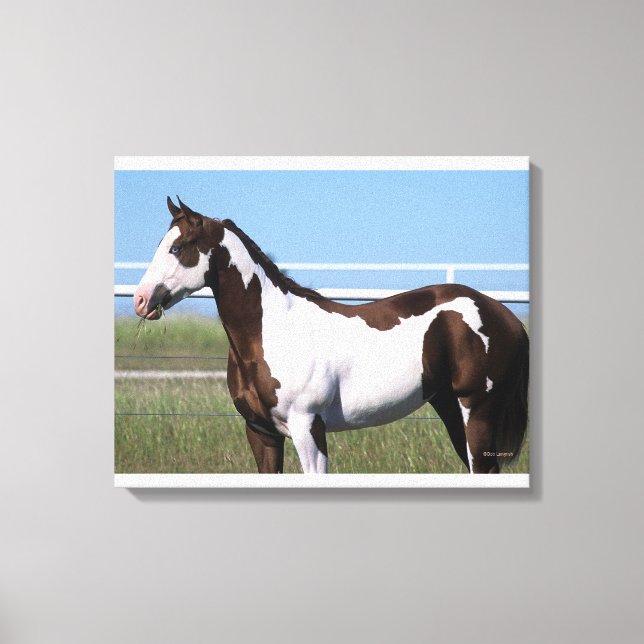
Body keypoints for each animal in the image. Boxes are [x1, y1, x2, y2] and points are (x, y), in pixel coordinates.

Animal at [133, 197, 529, 474]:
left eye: (177, 248)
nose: (141, 300)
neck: (274, 330)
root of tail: (506, 316)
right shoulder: (261, 432)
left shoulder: (308, 427)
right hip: (450, 409)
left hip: (477, 412)